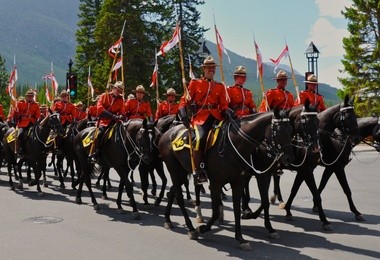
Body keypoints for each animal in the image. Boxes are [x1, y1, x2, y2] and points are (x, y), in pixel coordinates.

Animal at [157, 108, 294, 250]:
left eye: (290, 129)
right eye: (279, 131)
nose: (289, 158)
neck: (236, 143)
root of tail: (167, 133)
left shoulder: (242, 181)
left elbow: (243, 207)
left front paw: (242, 237)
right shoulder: (217, 182)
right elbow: (216, 211)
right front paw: (203, 228)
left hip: (183, 171)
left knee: (173, 192)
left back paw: (168, 219)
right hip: (174, 169)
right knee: (179, 196)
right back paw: (191, 228)